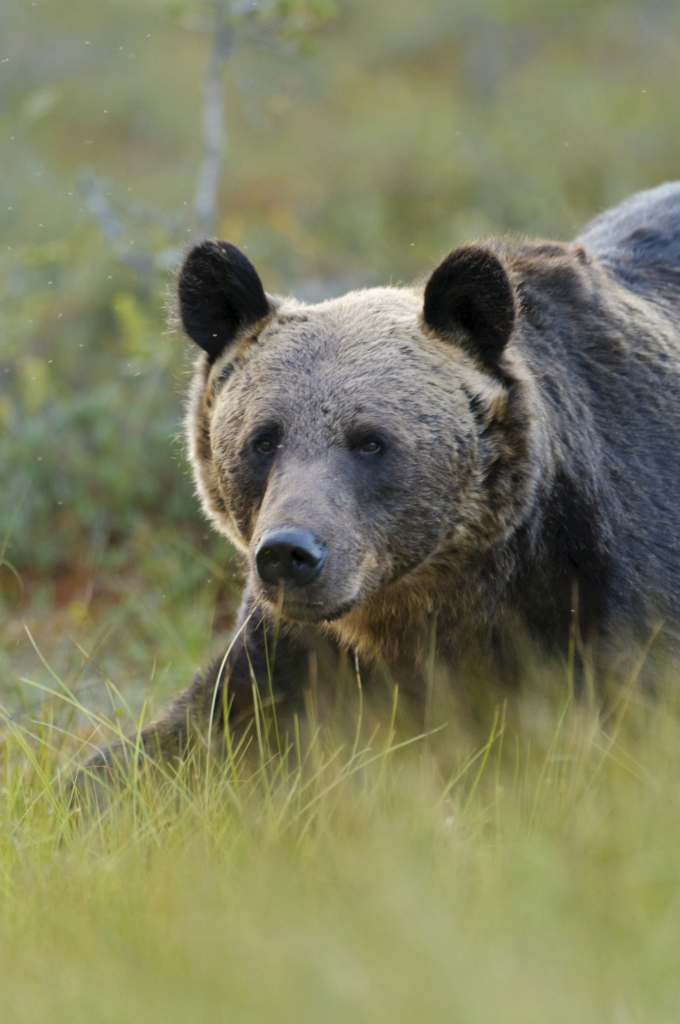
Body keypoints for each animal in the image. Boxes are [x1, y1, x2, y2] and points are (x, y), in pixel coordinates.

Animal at [85, 180, 680, 770]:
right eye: (264, 439)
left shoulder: (597, 590)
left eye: (370, 441)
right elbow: (185, 736)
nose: (288, 555)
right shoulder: (292, 647)